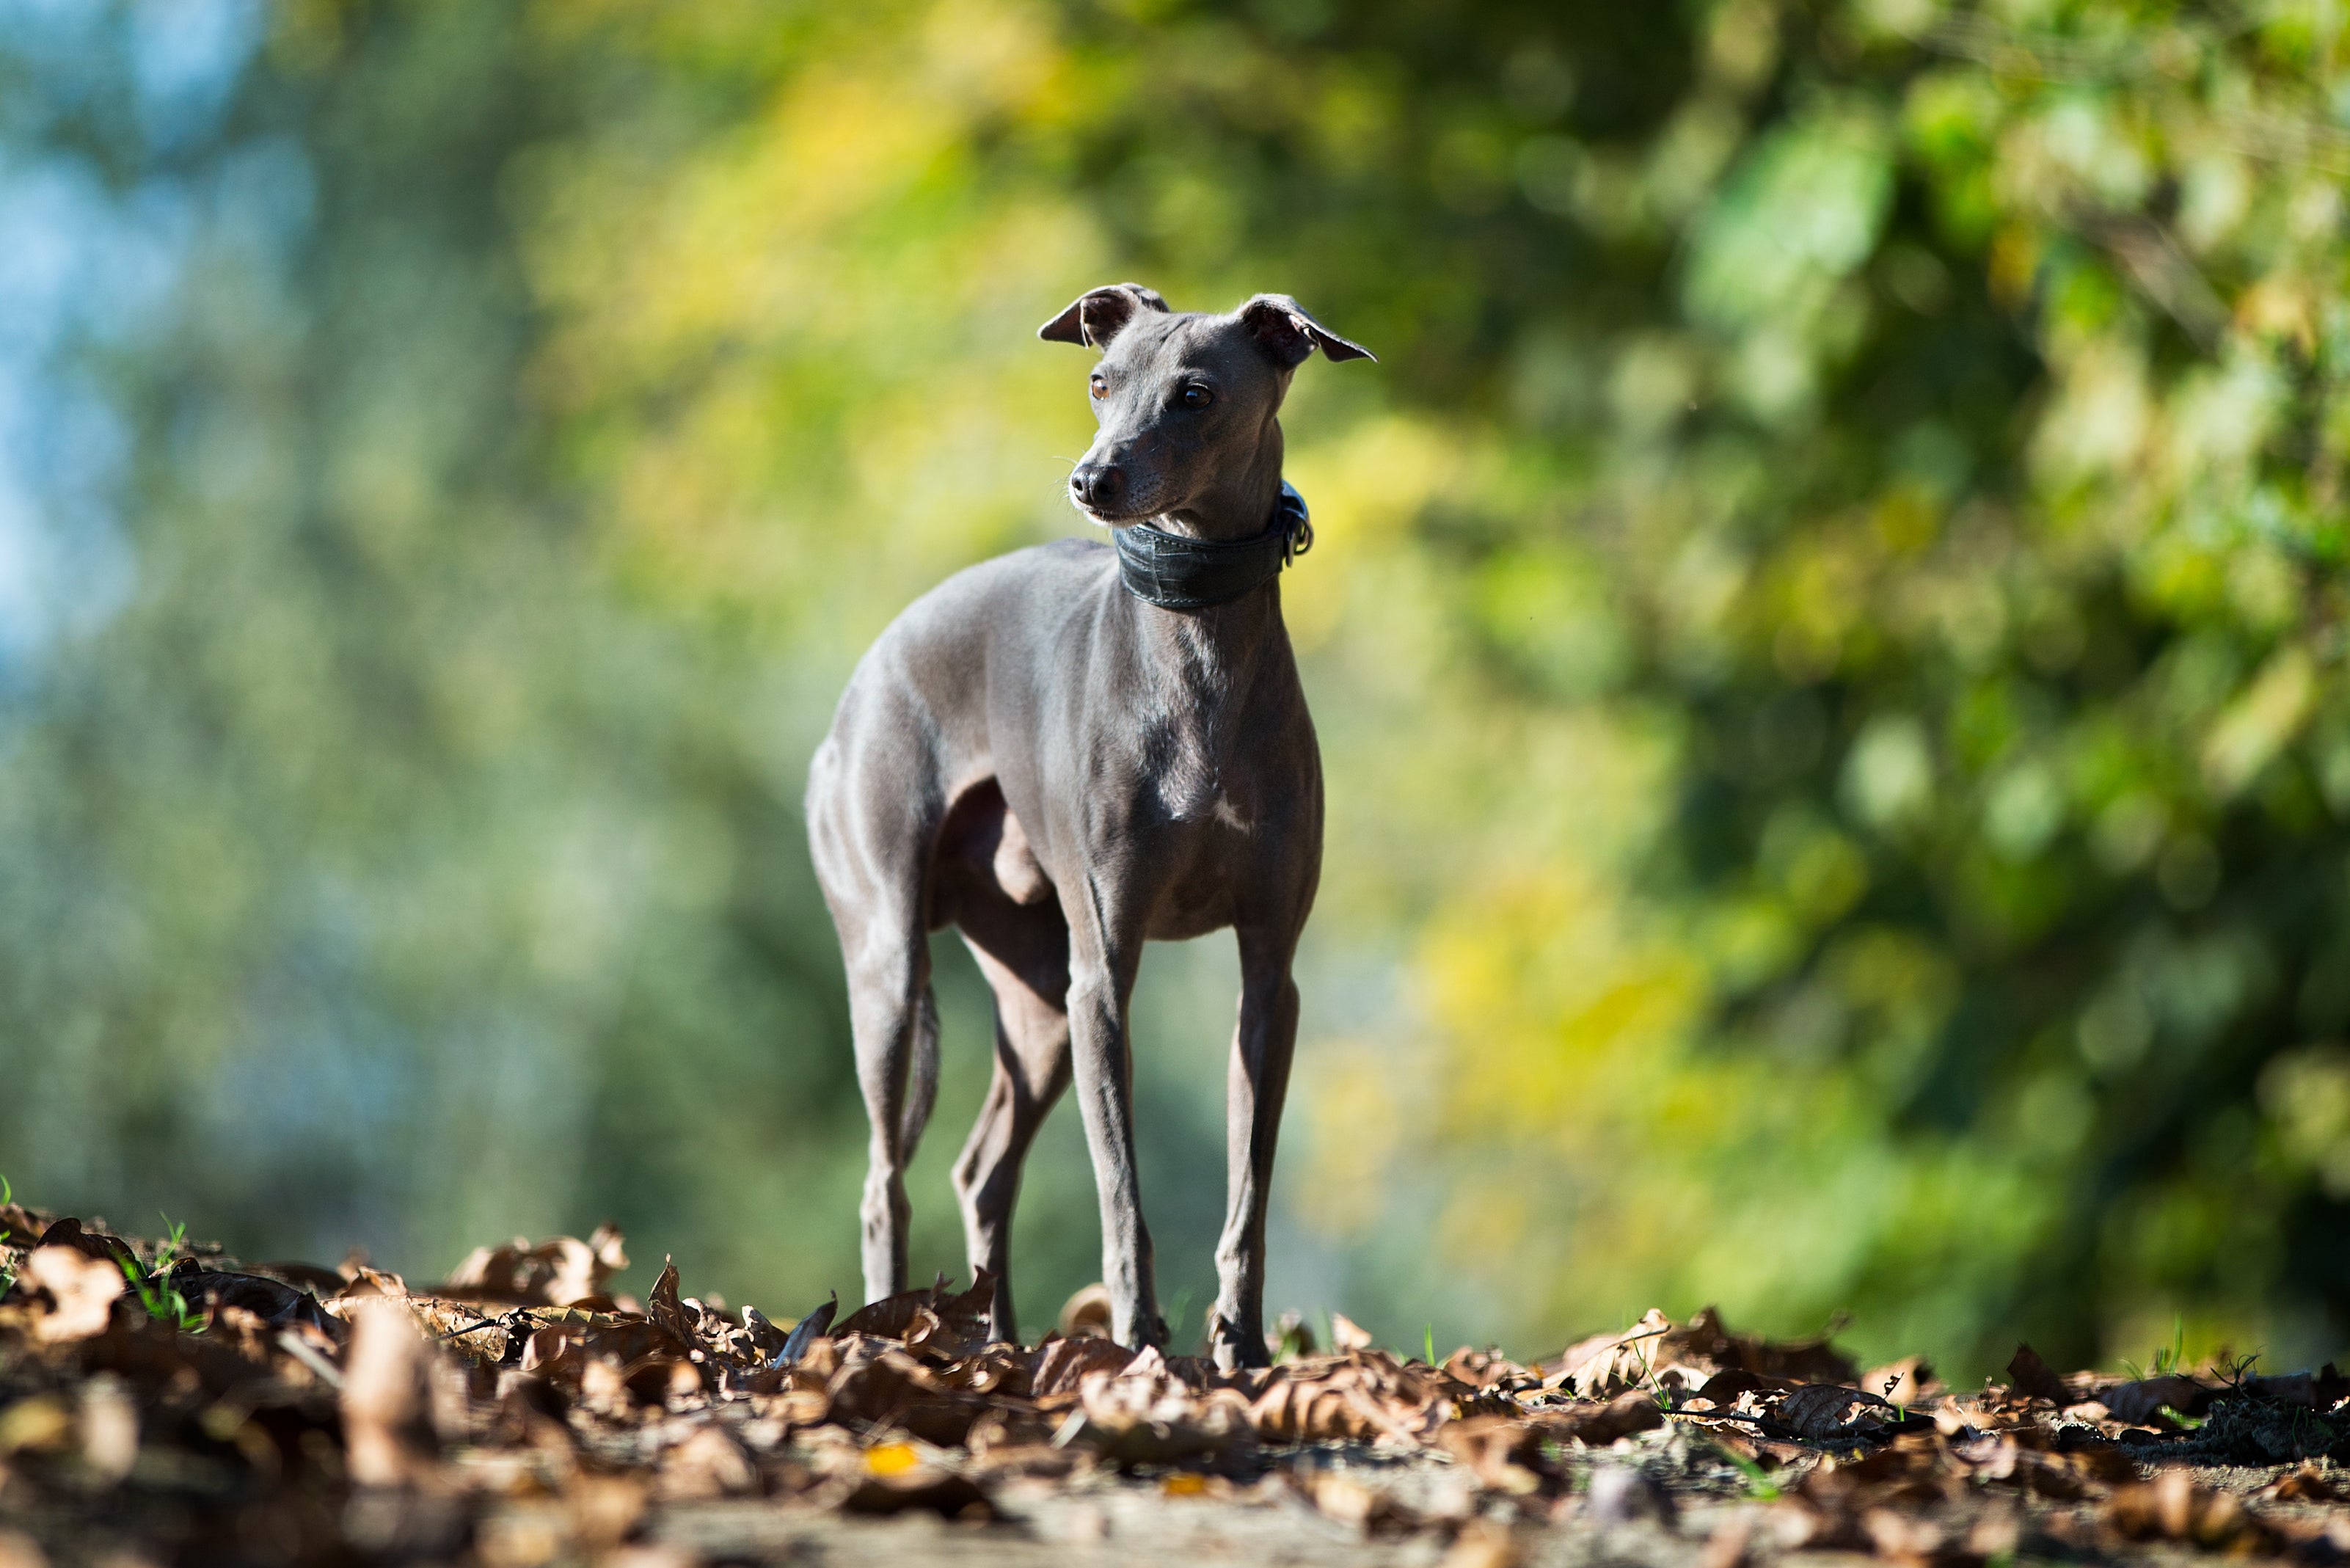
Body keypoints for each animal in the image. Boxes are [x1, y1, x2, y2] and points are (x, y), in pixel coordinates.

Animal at [803, 288, 1372, 1363]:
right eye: (1100, 382)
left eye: (1195, 393)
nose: (1090, 478)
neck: (1194, 650)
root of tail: (855, 689)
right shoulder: (1104, 971)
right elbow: (1121, 1185)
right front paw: (1140, 1334)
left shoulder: (1267, 975)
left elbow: (1248, 1187)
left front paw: (1241, 1345)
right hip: (895, 967)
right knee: (882, 1183)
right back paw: (884, 1331)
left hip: (1033, 1005)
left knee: (981, 1172)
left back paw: (997, 1341)